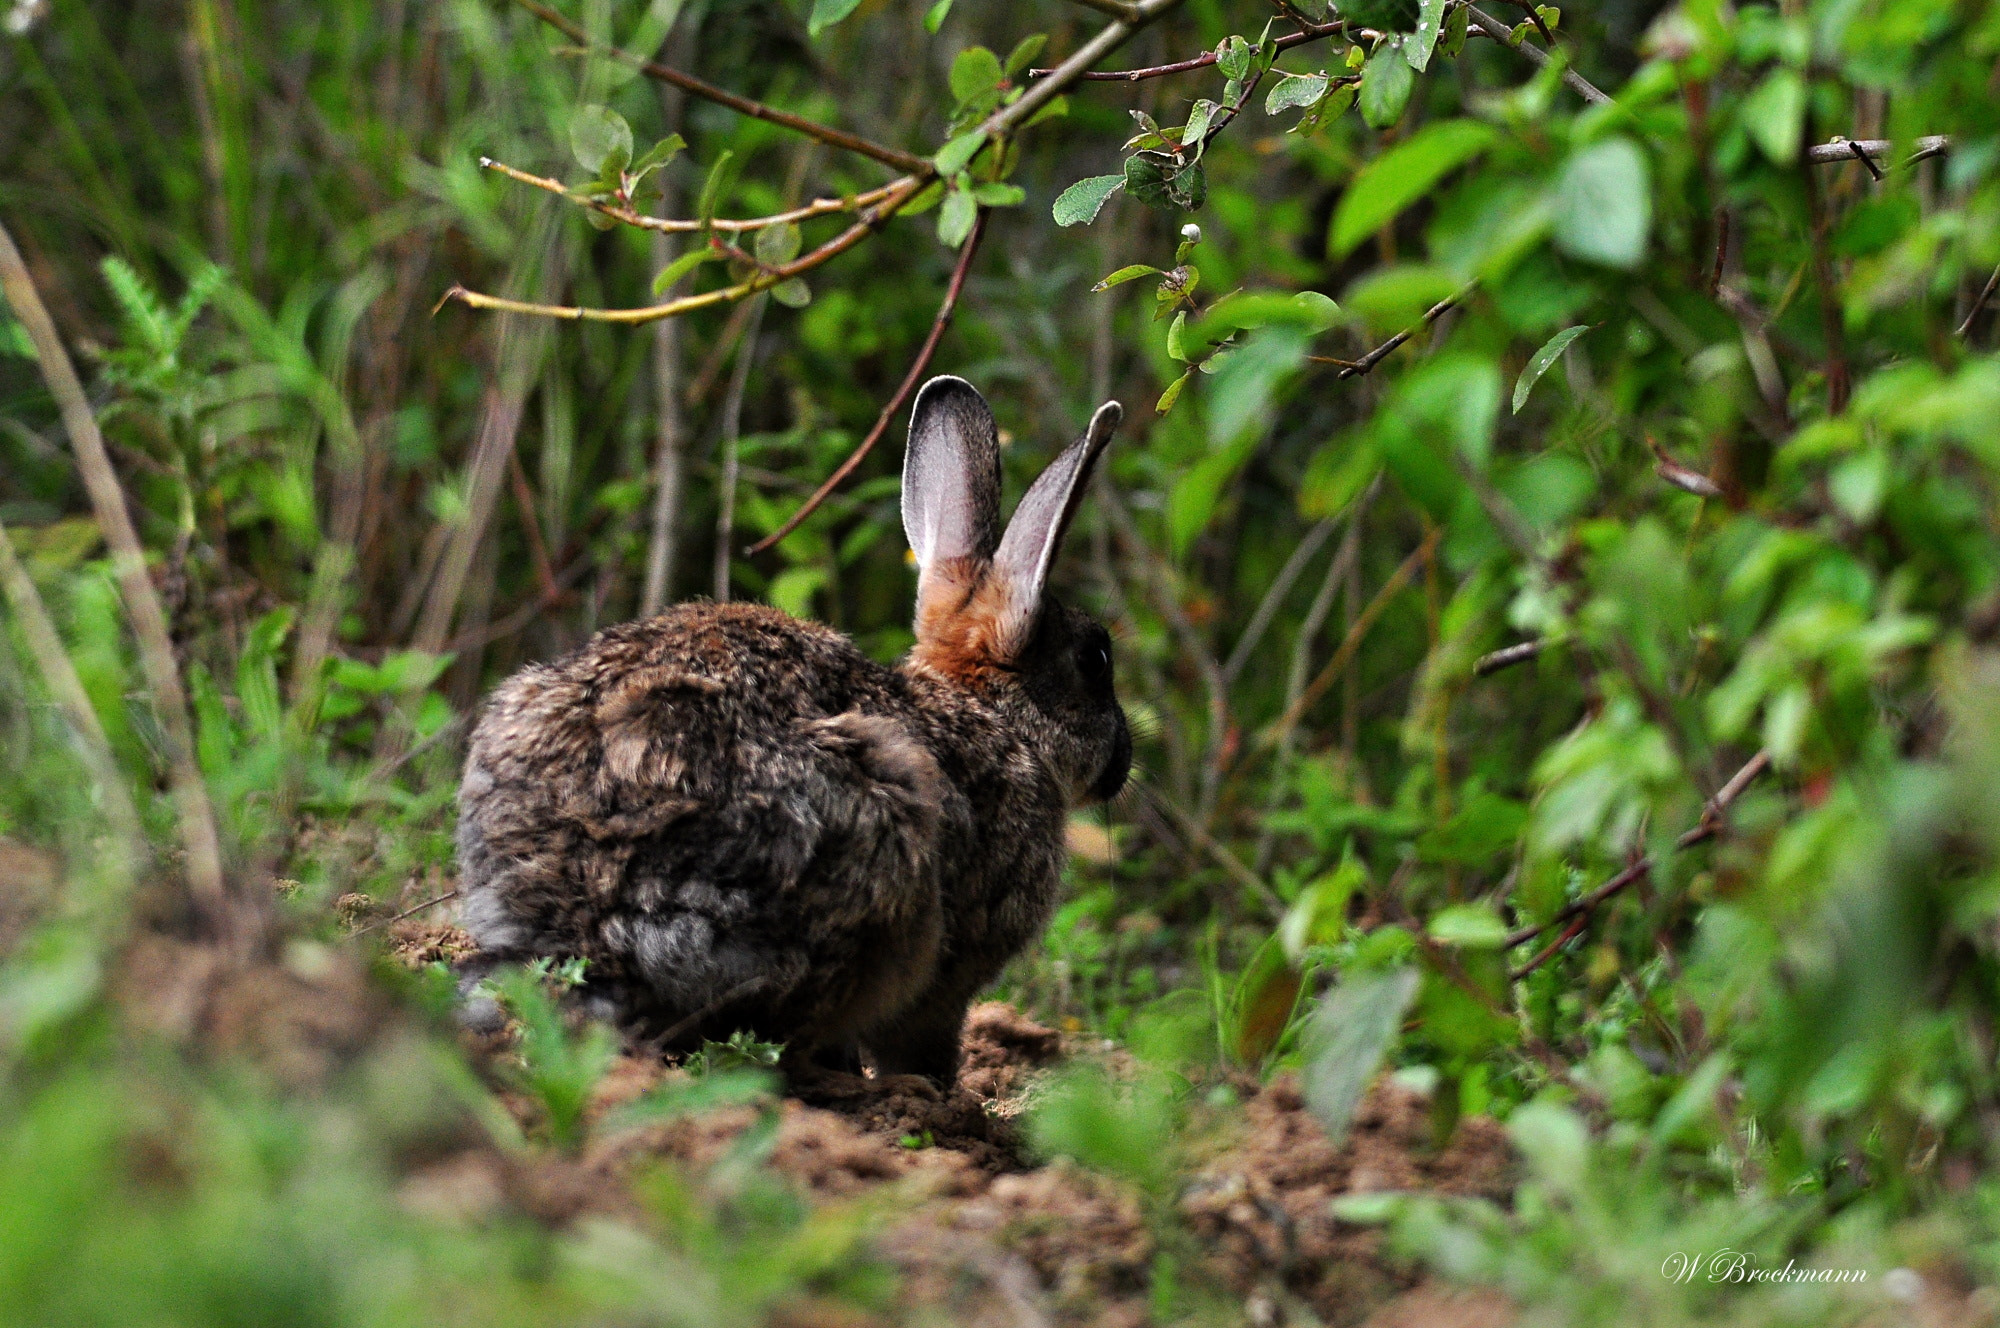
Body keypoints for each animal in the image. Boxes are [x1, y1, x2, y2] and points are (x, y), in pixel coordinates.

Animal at [454, 376, 1131, 1087]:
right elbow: (924, 1036)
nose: (1124, 761)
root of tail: (582, 908)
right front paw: (940, 1092)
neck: (992, 714)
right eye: (1094, 660)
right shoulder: (958, 966)